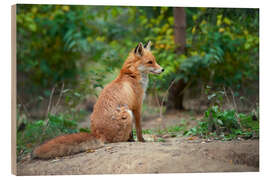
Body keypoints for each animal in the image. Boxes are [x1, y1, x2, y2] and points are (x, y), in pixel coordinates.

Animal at [32, 41, 163, 159]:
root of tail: (98, 134)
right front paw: (141, 140)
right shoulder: (137, 106)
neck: (132, 76)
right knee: (118, 140)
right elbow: (139, 128)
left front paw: (136, 139)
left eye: (155, 60)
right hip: (127, 113)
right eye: (150, 62)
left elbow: (133, 131)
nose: (163, 70)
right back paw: (128, 141)